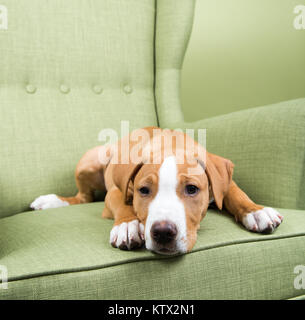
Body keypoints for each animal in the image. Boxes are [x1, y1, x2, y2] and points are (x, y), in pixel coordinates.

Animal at [29, 127, 282, 255]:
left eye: (192, 189)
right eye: (143, 190)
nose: (162, 233)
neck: (171, 145)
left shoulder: (222, 181)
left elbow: (234, 192)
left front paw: (255, 210)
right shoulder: (116, 192)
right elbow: (124, 204)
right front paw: (128, 226)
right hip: (90, 160)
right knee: (83, 197)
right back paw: (51, 201)